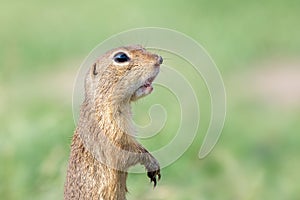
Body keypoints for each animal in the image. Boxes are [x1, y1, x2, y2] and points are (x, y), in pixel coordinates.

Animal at [64, 45, 163, 200]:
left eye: (142, 47)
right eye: (121, 57)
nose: (159, 59)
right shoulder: (110, 135)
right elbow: (125, 153)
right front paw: (151, 163)